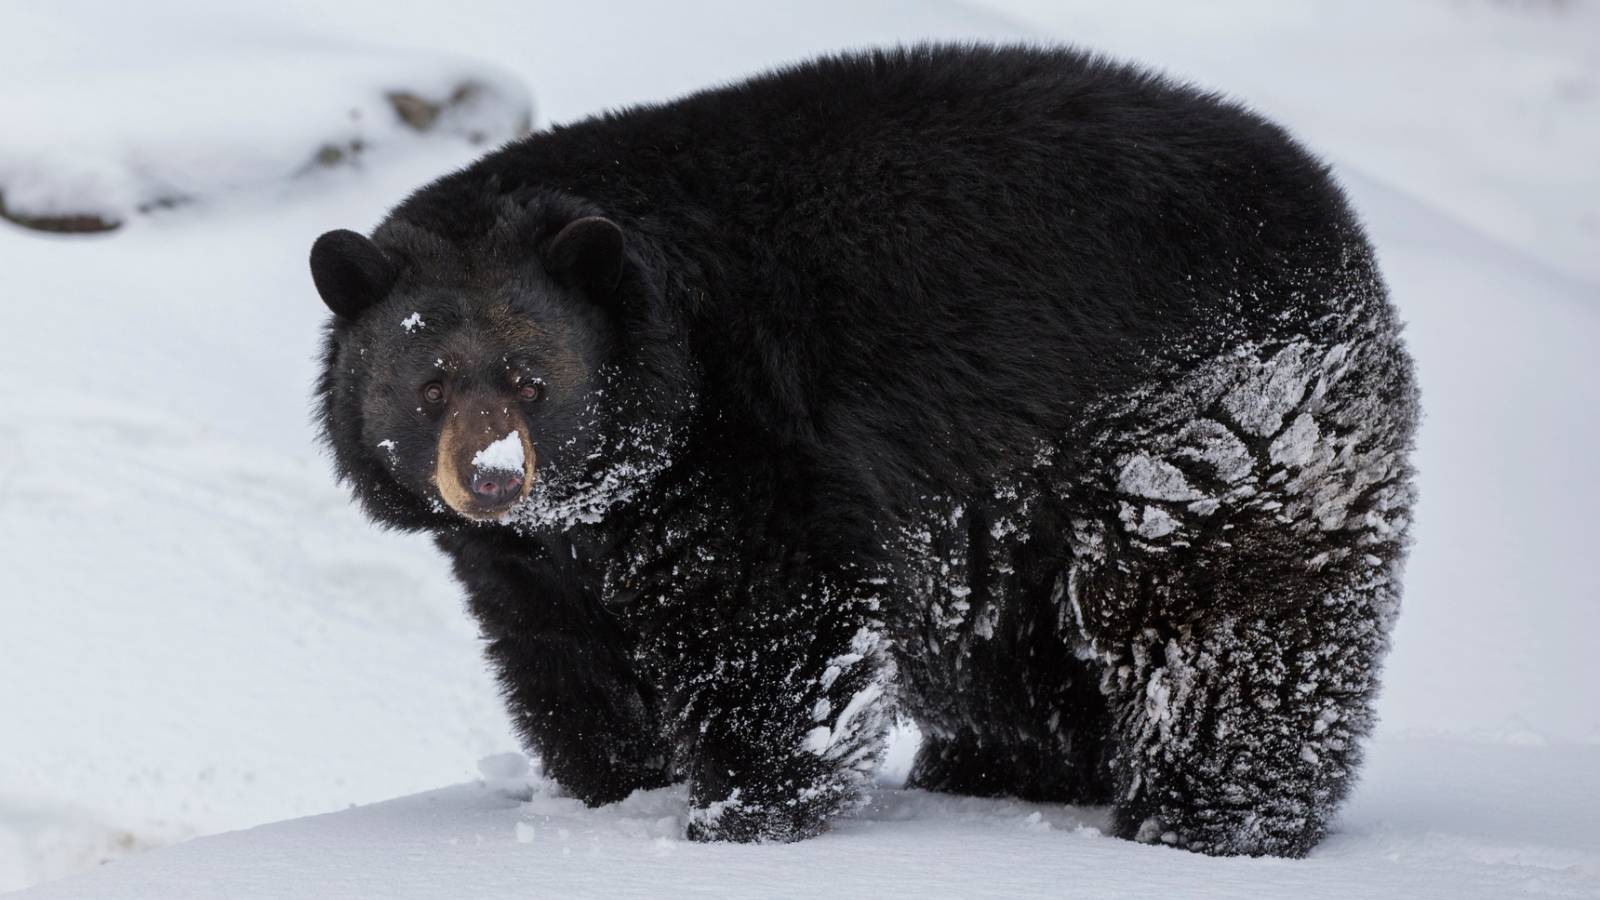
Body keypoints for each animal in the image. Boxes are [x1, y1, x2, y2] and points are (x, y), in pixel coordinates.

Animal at [309, 43, 1417, 857]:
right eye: (429, 383)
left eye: (533, 380)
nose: (491, 478)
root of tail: (1332, 210)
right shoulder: (523, 559)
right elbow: (563, 660)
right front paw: (618, 795)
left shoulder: (749, 435)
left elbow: (775, 623)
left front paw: (738, 815)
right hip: (1018, 503)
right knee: (1014, 652)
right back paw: (1000, 773)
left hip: (1214, 414)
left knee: (1219, 616)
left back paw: (1210, 818)